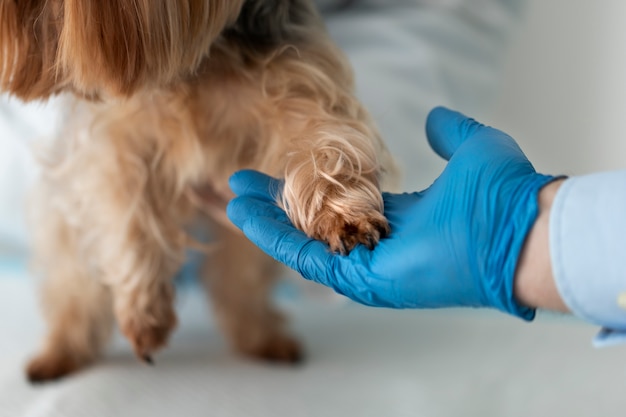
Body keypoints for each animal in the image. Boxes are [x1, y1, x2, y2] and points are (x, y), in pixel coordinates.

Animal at [1, 0, 394, 382]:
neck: (197, 62)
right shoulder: (112, 143)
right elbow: (126, 213)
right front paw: (144, 313)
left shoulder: (299, 80)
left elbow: (326, 140)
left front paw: (342, 216)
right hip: (59, 223)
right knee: (73, 281)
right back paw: (60, 351)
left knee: (240, 276)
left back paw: (261, 336)